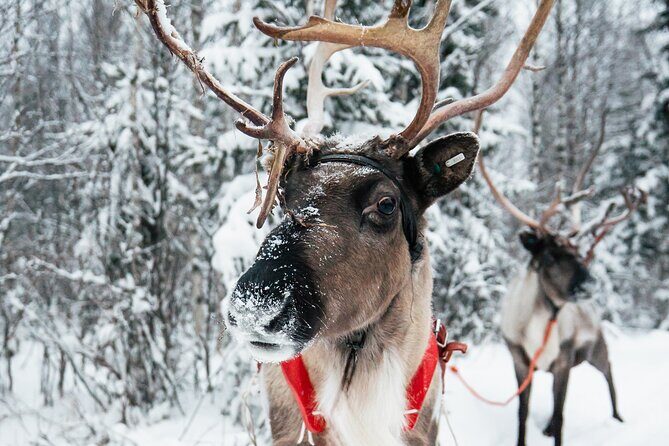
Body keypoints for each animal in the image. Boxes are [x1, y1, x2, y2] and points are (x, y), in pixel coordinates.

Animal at [475, 111, 646, 446]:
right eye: (551, 256)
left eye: (580, 253)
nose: (590, 284)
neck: (540, 322)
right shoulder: (520, 361)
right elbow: (523, 414)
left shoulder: (564, 361)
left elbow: (561, 415)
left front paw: (555, 430)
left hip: (596, 349)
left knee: (609, 373)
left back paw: (618, 418)